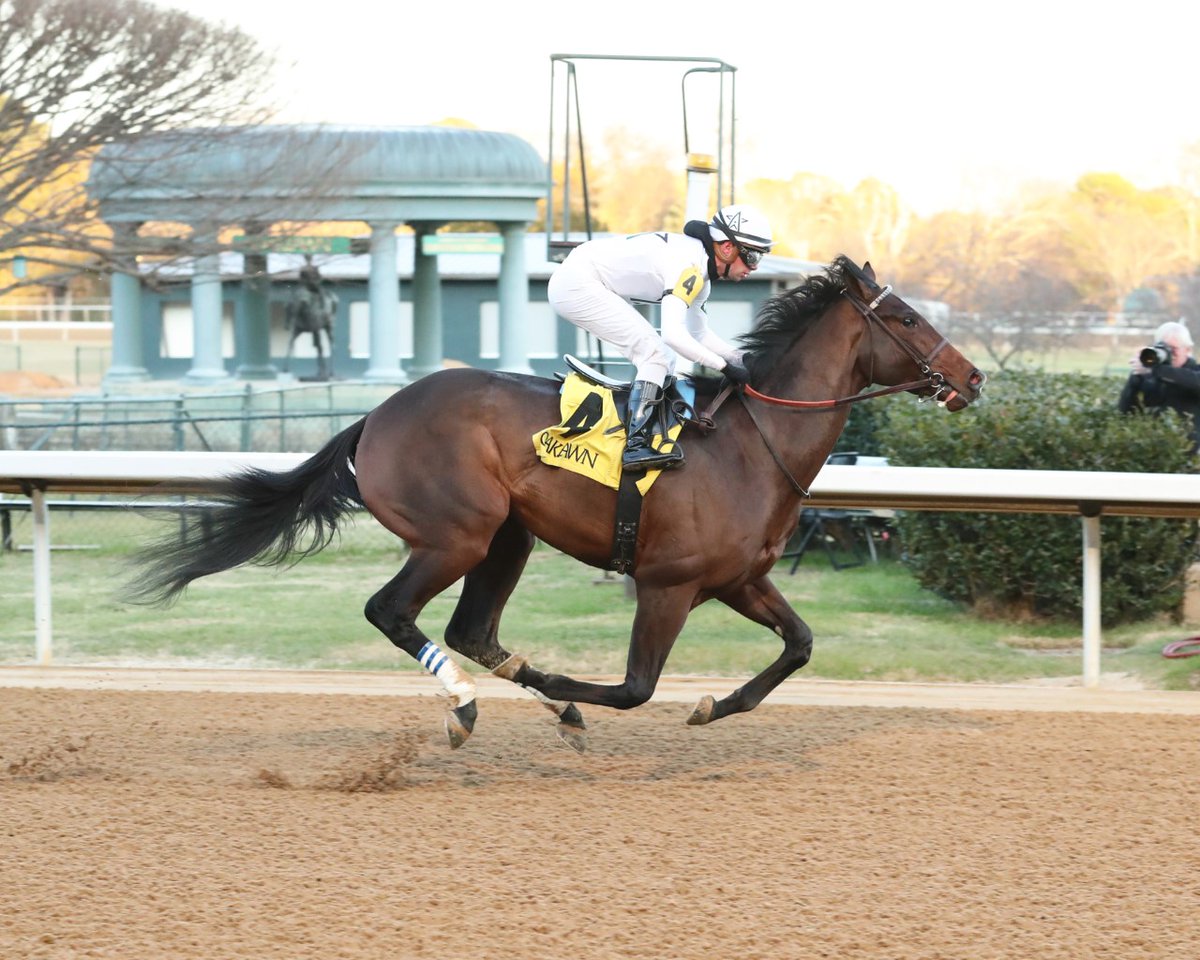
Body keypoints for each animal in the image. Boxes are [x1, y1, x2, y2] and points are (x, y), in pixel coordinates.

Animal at [129, 256, 985, 752]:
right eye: (906, 317)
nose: (972, 377)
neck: (751, 442)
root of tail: (375, 417)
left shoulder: (739, 579)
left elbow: (801, 644)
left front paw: (711, 705)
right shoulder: (668, 584)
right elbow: (635, 689)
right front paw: (571, 694)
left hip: (509, 536)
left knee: (470, 630)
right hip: (458, 535)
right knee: (392, 612)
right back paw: (467, 705)